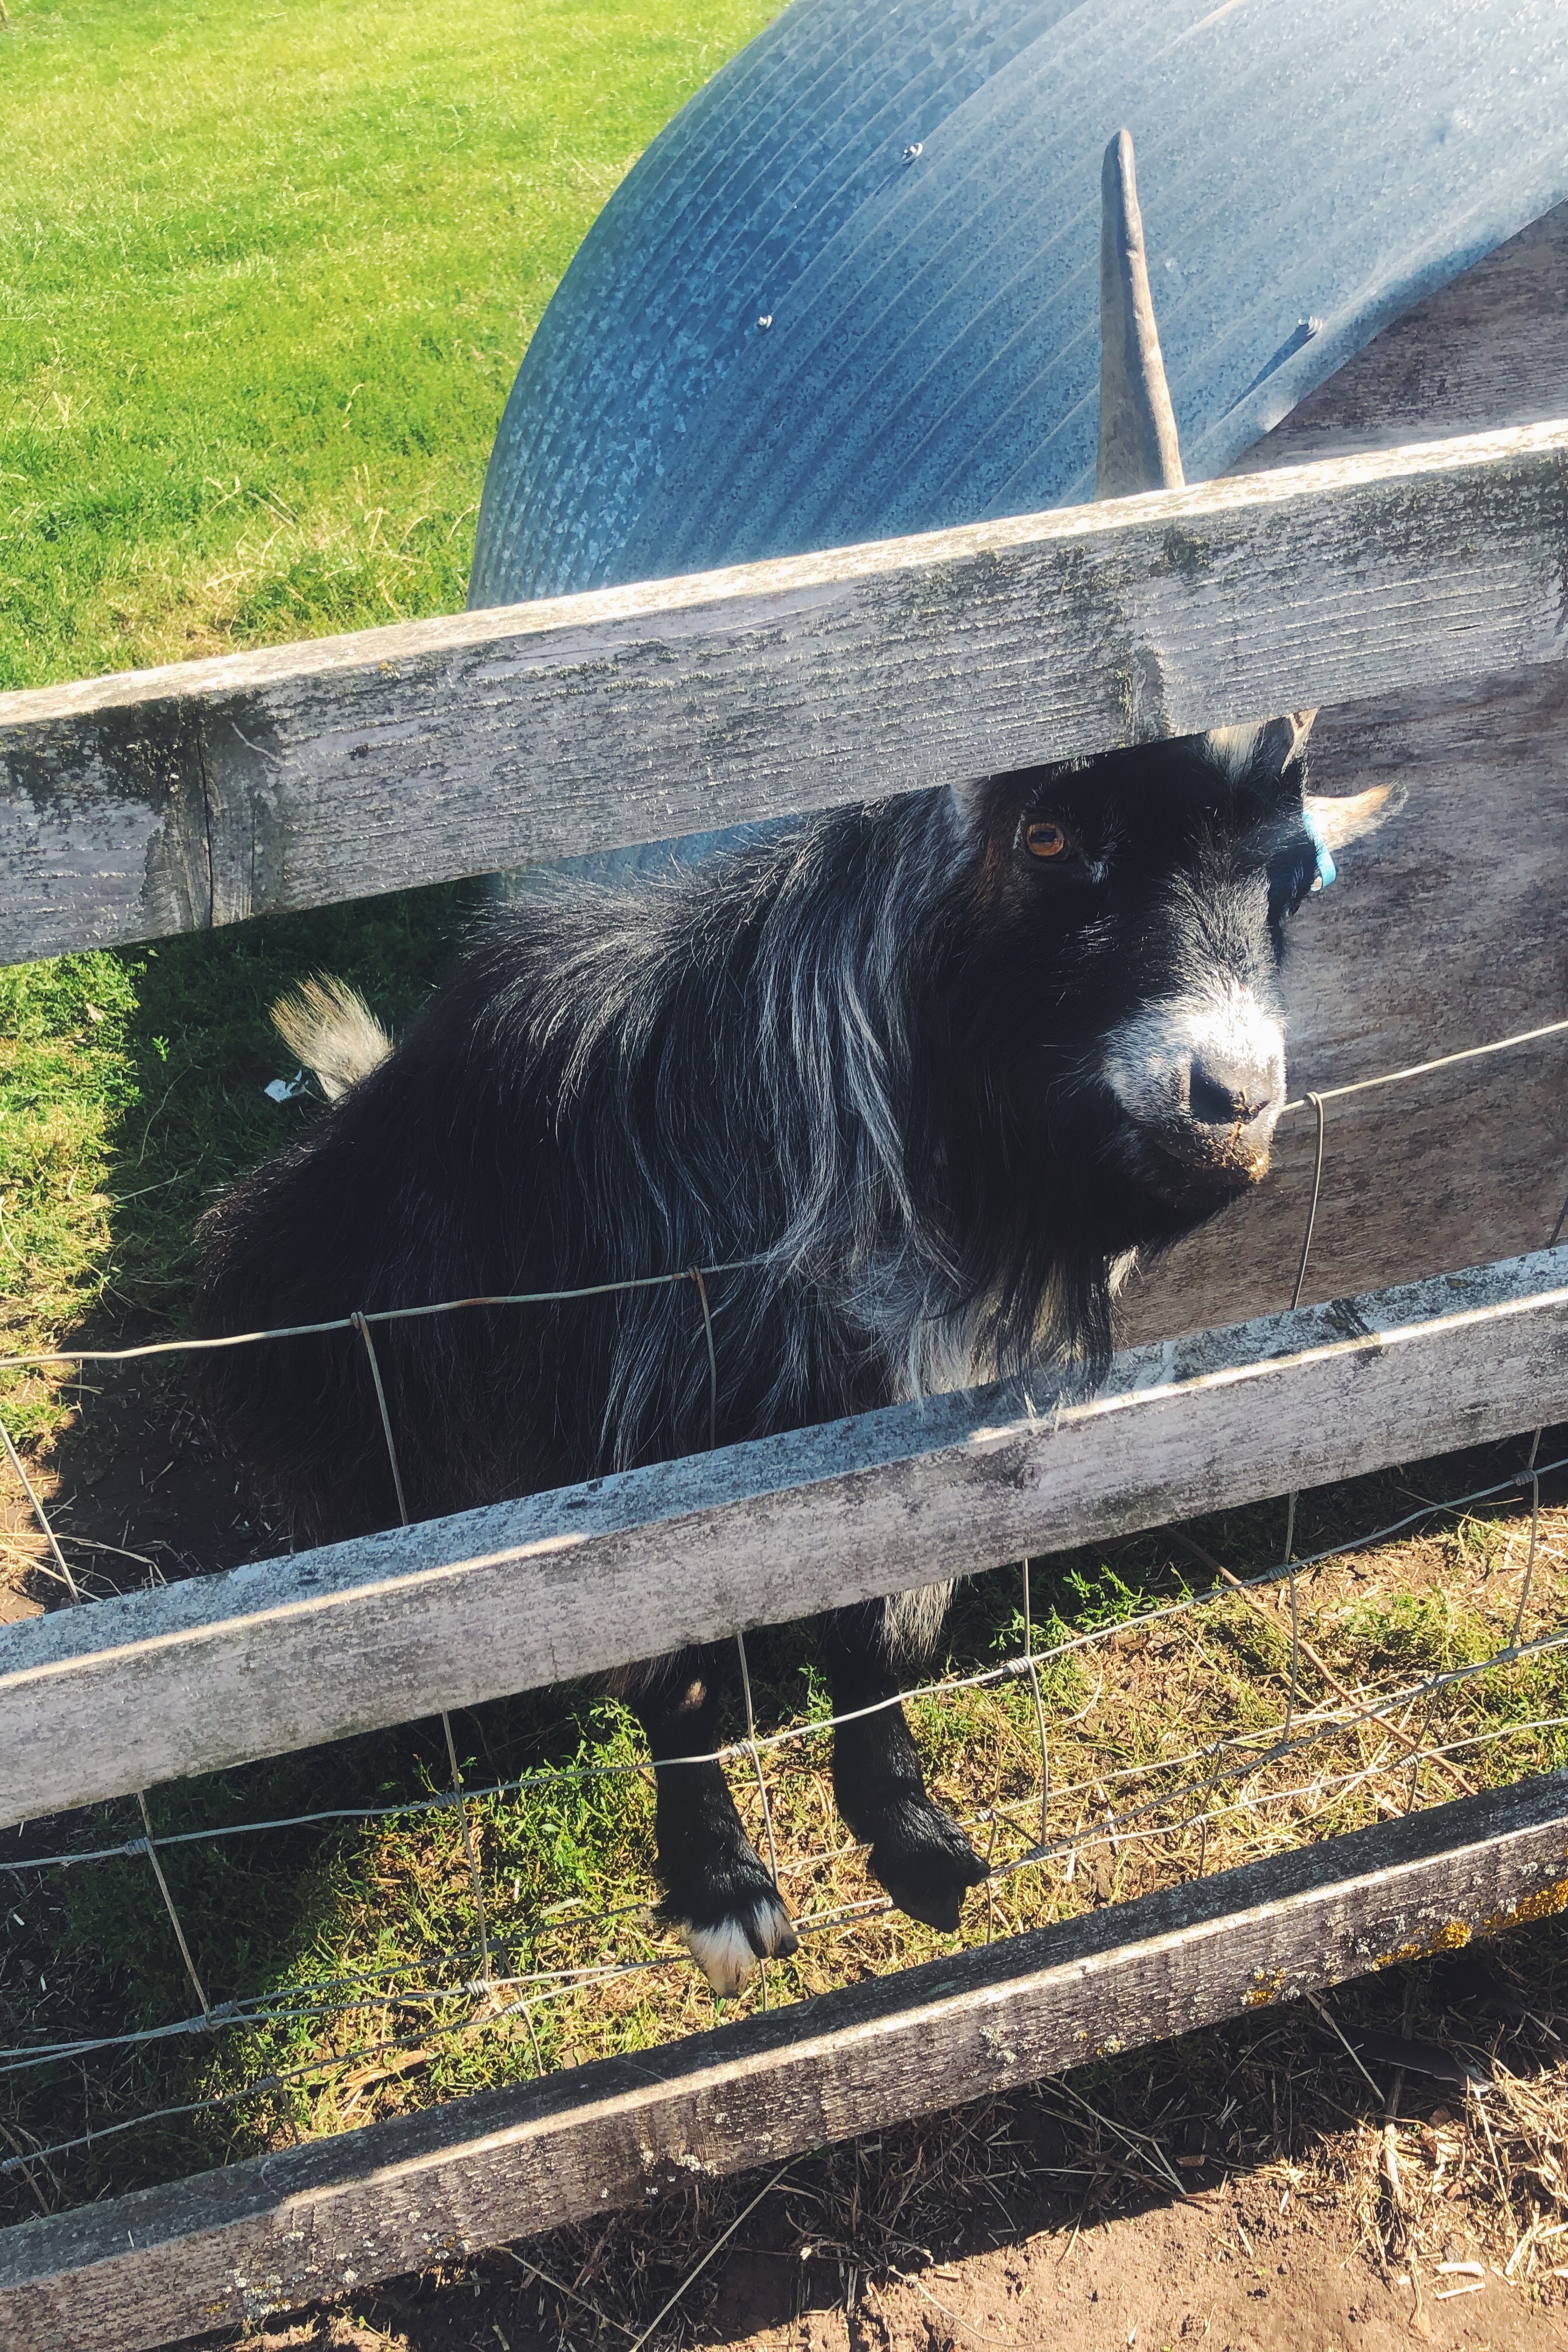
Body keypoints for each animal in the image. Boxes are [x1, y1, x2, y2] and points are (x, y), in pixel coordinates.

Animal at [194, 134, 1401, 1992]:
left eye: (1292, 879)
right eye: (1051, 835)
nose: (1225, 1105)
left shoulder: (892, 1423)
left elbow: (878, 1632)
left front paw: (909, 1837)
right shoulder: (618, 1445)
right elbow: (682, 1677)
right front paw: (718, 1891)